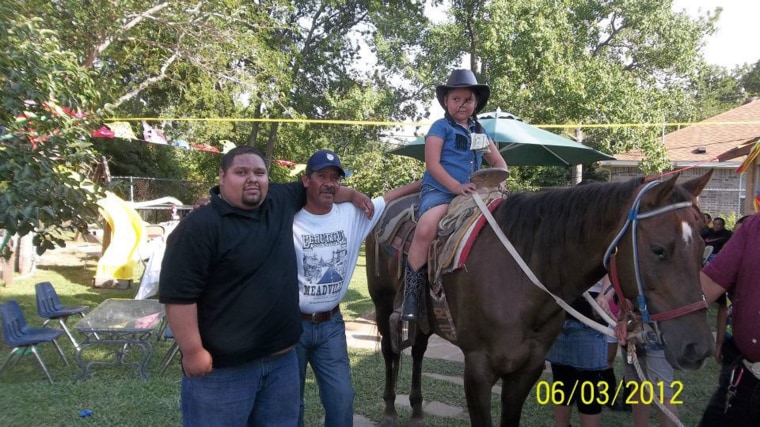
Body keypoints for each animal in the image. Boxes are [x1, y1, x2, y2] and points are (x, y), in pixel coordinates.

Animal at [366, 171, 716, 427]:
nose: (697, 347)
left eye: (703, 246)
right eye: (659, 250)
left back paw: (416, 409)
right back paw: (389, 410)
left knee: (418, 351)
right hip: (384, 308)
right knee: (390, 351)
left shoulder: (527, 369)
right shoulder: (478, 369)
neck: (522, 277)